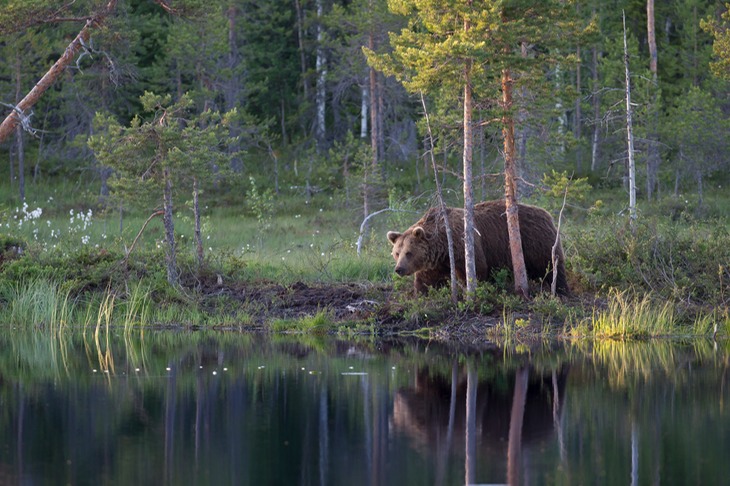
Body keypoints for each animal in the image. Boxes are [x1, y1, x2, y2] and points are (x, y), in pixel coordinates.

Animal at [386, 199, 568, 294]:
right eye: (396, 253)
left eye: (409, 252)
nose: (399, 269)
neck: (443, 246)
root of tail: (547, 214)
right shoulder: (435, 262)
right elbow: (427, 280)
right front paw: (422, 293)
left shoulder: (464, 247)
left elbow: (477, 271)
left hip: (536, 242)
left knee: (551, 266)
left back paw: (560, 289)